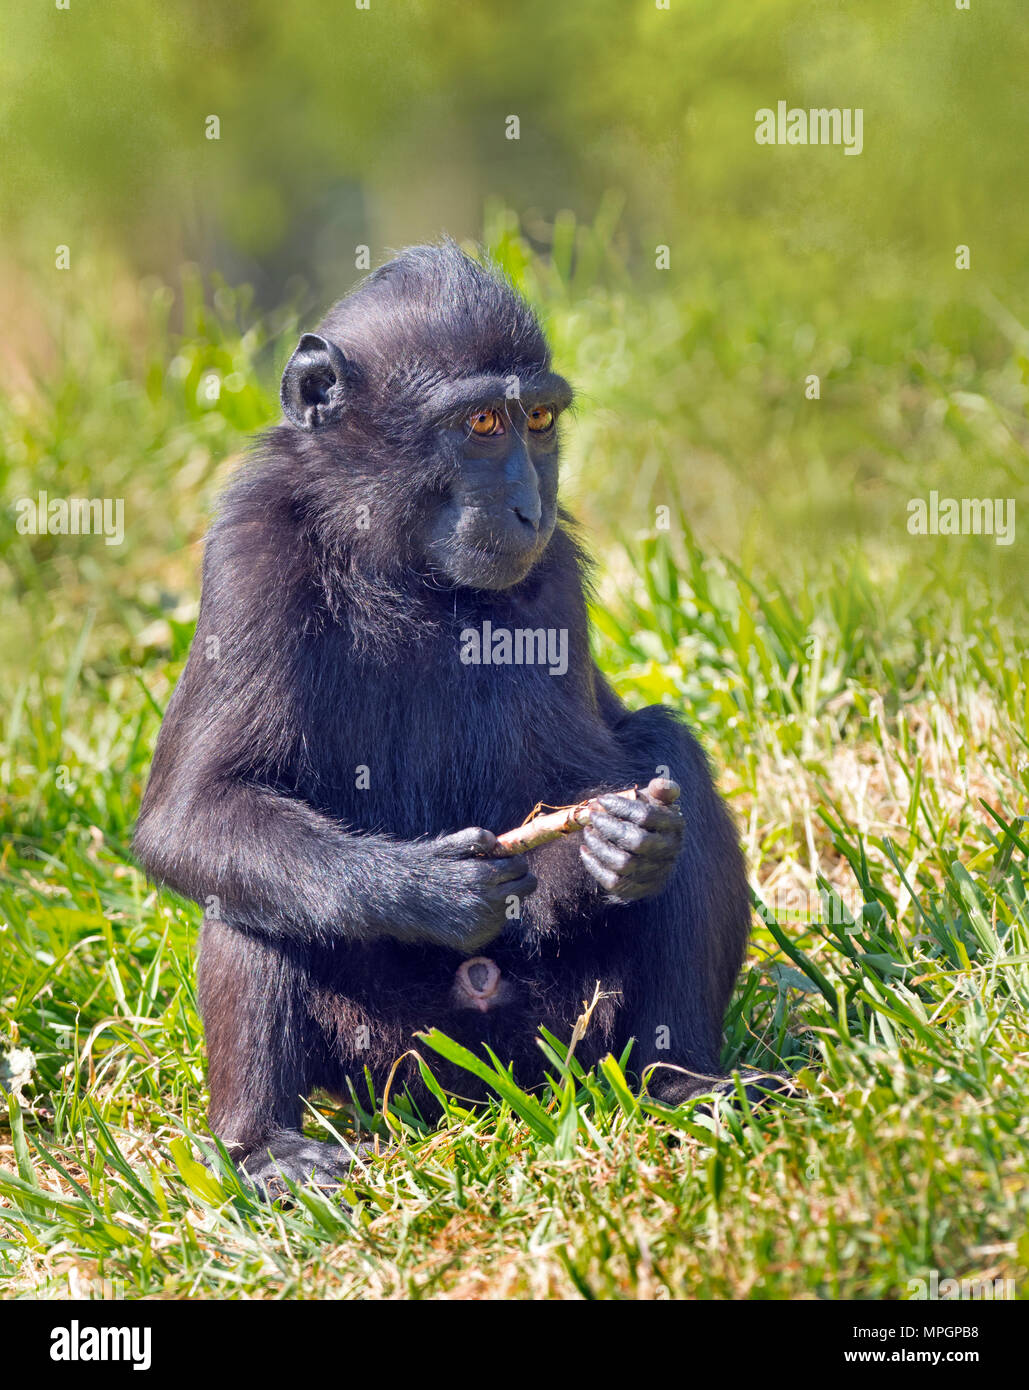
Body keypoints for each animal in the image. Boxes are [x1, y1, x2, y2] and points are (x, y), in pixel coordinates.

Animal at [132, 241, 750, 1195]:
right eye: (482, 424)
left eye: (538, 419)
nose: (529, 505)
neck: (397, 565)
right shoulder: (249, 552)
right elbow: (192, 811)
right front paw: (429, 888)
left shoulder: (553, 576)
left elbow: (585, 781)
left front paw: (619, 850)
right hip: (382, 1056)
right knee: (244, 878)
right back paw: (262, 1146)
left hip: (564, 1035)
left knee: (667, 748)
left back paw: (680, 1080)